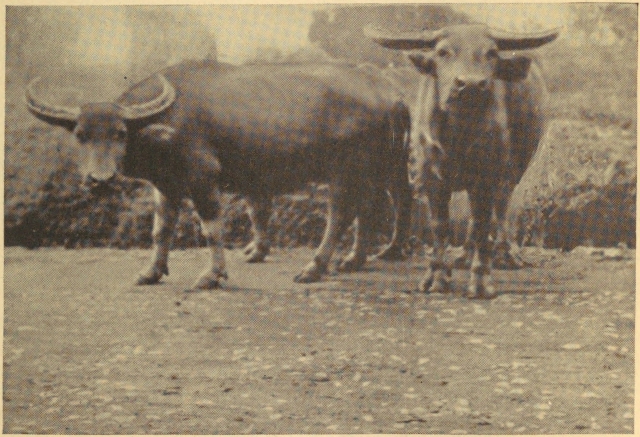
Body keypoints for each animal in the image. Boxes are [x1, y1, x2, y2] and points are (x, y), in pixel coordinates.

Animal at [25, 58, 410, 290]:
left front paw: (212, 275)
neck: (163, 123)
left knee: (342, 214)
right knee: (372, 210)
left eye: (120, 133)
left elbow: (211, 229)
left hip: (347, 169)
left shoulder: (203, 178)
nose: (100, 180)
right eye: (80, 134)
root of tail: (387, 91)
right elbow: (160, 230)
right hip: (377, 168)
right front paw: (151, 271)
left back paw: (314, 267)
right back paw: (355, 260)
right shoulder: (166, 186)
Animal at [368, 23, 556, 296]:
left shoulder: (486, 178)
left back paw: (504, 255)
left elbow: (482, 224)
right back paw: (462, 256)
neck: (459, 135)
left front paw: (480, 281)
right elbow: (440, 226)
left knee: (501, 207)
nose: (471, 85)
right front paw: (436, 277)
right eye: (443, 52)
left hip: (516, 167)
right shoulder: (431, 179)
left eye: (491, 53)